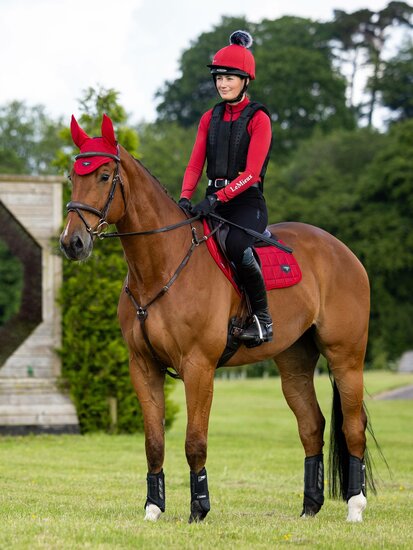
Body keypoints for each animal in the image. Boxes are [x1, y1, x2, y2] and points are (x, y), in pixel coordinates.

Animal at [60, 115, 374, 528]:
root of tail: (342, 251)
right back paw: (310, 506)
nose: (72, 243)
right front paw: (153, 508)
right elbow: (153, 442)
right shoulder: (143, 367)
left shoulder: (198, 367)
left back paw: (355, 506)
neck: (160, 267)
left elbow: (195, 441)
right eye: (72, 176)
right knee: (312, 426)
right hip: (294, 364)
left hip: (345, 358)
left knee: (353, 426)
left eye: (104, 175)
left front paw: (199, 508)